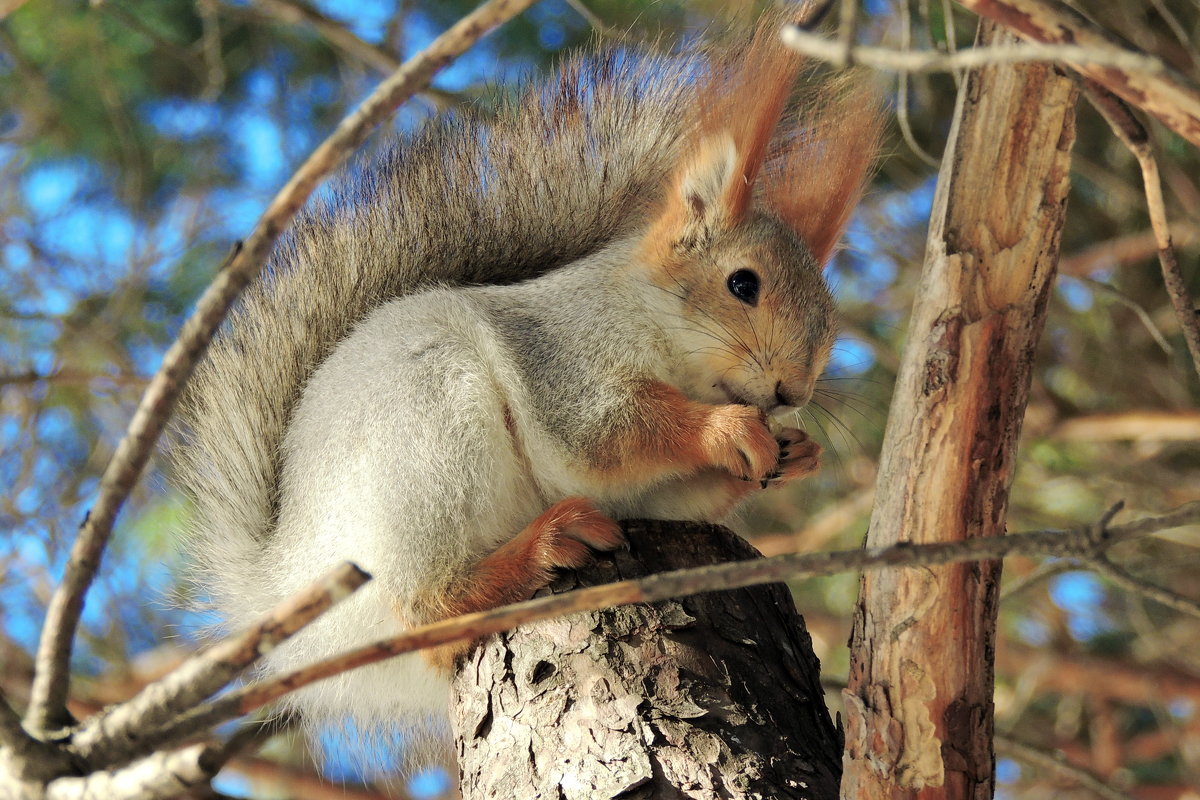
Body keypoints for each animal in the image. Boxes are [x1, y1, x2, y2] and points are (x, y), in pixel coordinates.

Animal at [171, 14, 883, 758]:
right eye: (743, 283)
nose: (792, 392)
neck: (654, 324)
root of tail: (282, 581)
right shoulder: (564, 360)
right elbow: (610, 431)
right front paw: (725, 430)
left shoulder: (654, 492)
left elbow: (677, 493)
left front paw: (797, 452)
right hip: (427, 436)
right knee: (425, 609)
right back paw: (541, 546)